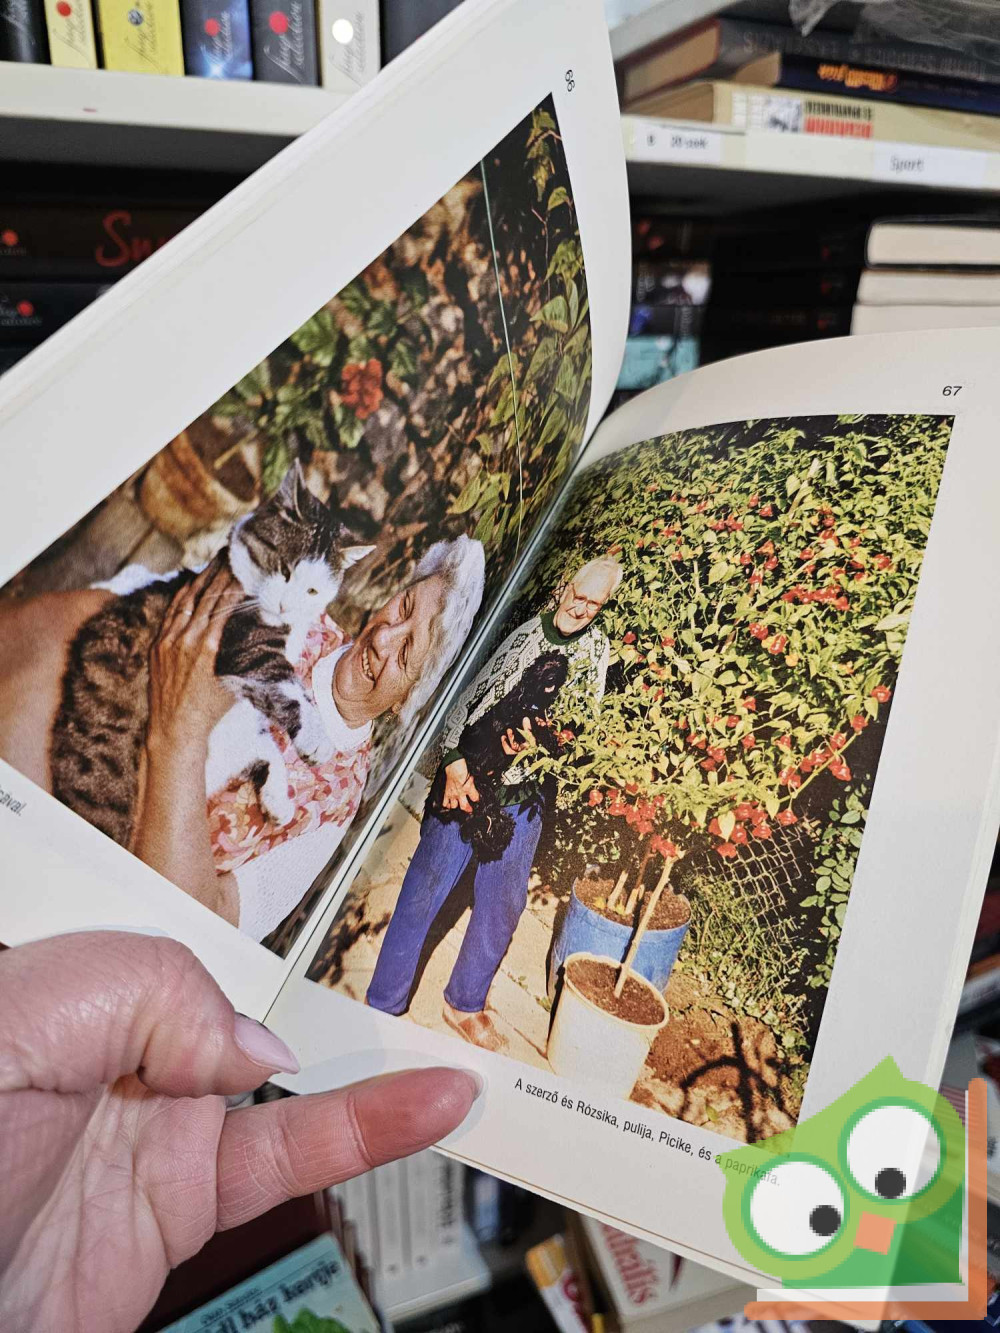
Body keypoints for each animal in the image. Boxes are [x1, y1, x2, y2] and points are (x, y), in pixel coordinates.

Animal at [50, 461, 373, 847]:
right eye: (284, 568)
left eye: (313, 590)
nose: (284, 606)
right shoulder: (248, 648)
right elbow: (291, 689)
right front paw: (318, 739)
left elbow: (266, 743)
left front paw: (278, 801)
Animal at [426, 650, 568, 861]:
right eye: (539, 668)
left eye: (556, 663)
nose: (551, 676)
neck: (527, 699)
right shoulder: (519, 726)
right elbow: (541, 735)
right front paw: (557, 750)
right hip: (476, 791)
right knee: (483, 820)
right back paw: (499, 835)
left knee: (476, 823)